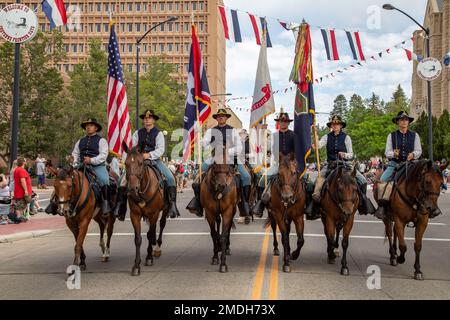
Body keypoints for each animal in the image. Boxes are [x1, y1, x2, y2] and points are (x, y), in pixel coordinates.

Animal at [123, 146, 169, 276]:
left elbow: (149, 234)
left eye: (140, 163)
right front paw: (136, 265)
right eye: (126, 163)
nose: (132, 189)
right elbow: (138, 239)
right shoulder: (135, 215)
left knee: (161, 225)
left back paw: (157, 248)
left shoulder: (154, 214)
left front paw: (148, 257)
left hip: (165, 210)